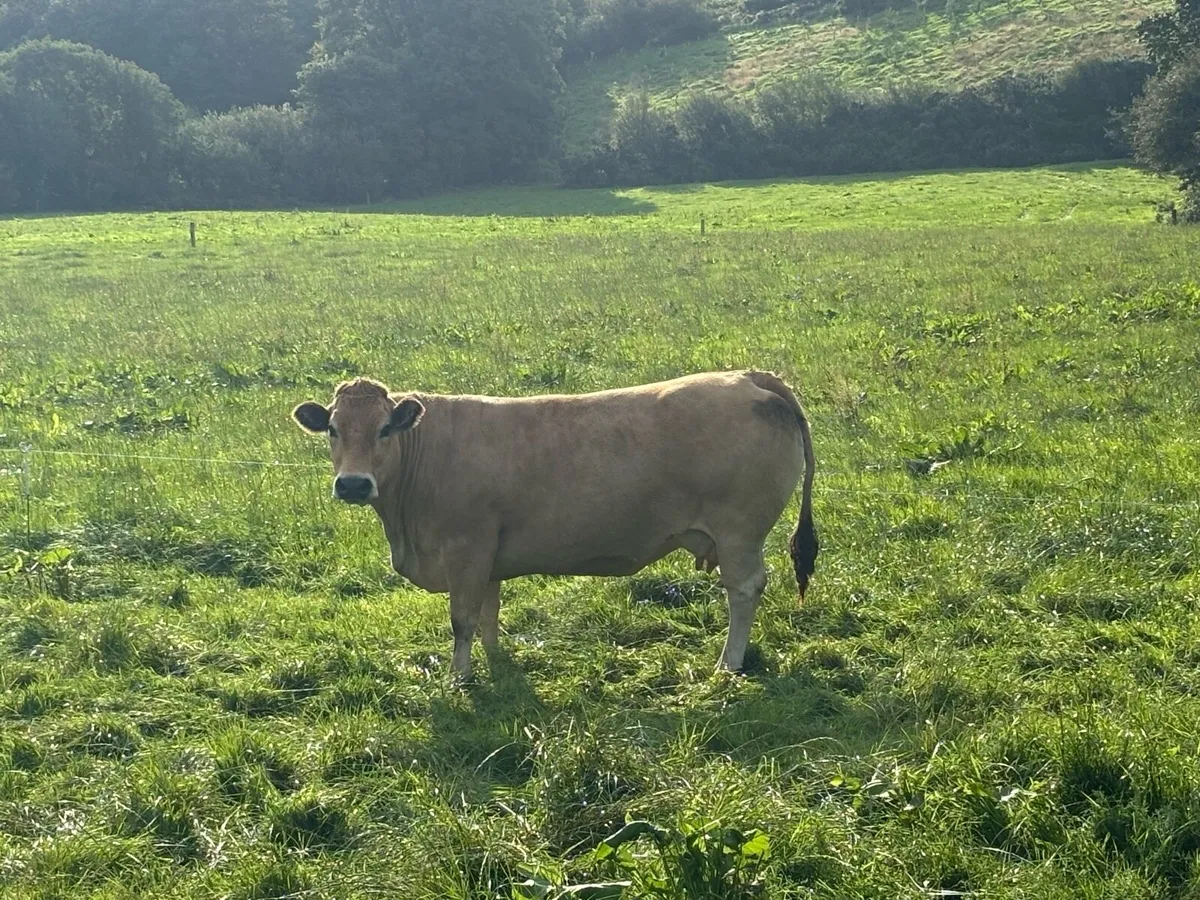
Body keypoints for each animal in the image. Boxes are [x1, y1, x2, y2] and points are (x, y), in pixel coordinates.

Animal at [292, 370, 817, 680]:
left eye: (384, 430)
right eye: (333, 429)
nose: (353, 484)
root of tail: (747, 377)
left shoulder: (465, 548)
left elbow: (462, 619)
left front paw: (459, 678)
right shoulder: (487, 553)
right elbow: (489, 611)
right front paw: (495, 660)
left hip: (739, 533)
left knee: (743, 590)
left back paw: (727, 665)